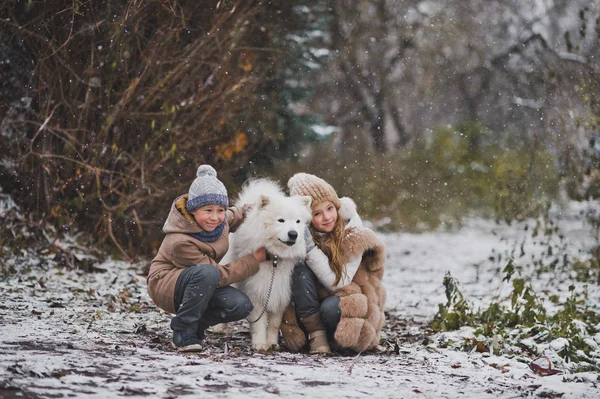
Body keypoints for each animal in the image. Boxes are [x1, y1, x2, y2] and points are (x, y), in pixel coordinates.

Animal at [223, 180, 312, 352]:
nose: (293, 234)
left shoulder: (281, 291)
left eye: (298, 221)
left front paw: (272, 343)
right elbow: (259, 323)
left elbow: (274, 324)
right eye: (281, 220)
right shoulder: (257, 291)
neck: (274, 259)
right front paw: (259, 344)